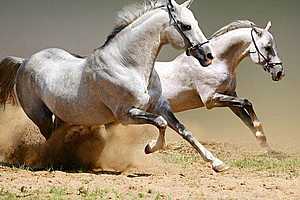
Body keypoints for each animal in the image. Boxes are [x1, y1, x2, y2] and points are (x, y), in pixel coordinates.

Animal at [0, 0, 232, 172]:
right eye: (186, 26)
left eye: (195, 22)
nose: (208, 56)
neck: (127, 65)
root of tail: (24, 61)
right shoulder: (126, 115)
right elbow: (161, 123)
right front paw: (149, 148)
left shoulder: (160, 106)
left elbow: (184, 131)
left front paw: (217, 164)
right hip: (40, 116)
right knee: (49, 138)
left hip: (62, 116)